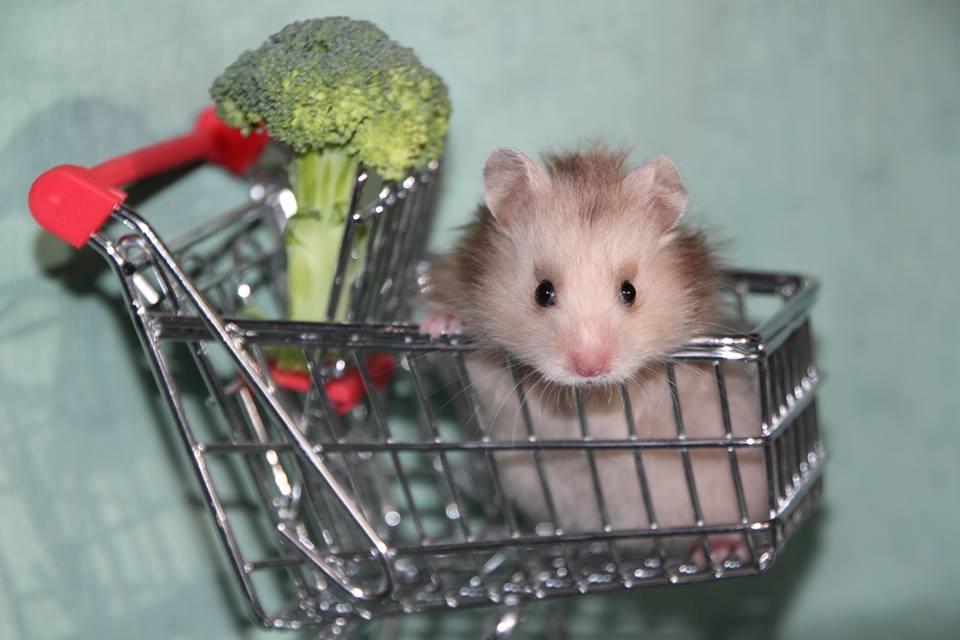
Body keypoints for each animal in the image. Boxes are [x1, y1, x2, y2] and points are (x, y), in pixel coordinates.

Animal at [422, 147, 766, 567]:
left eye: (629, 291)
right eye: (543, 292)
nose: (590, 369)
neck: (584, 395)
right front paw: (438, 325)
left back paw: (721, 548)